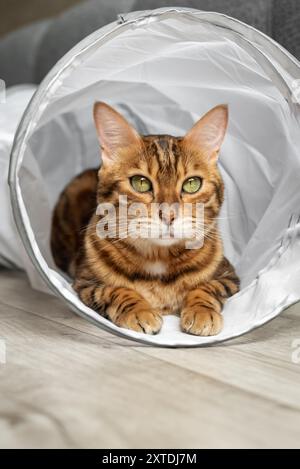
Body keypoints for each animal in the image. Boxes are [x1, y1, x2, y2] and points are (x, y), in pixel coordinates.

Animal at [51, 100, 239, 334]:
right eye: (140, 183)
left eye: (192, 184)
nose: (169, 215)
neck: (158, 258)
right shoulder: (85, 281)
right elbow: (115, 289)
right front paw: (139, 311)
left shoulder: (229, 276)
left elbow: (207, 287)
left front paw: (201, 311)